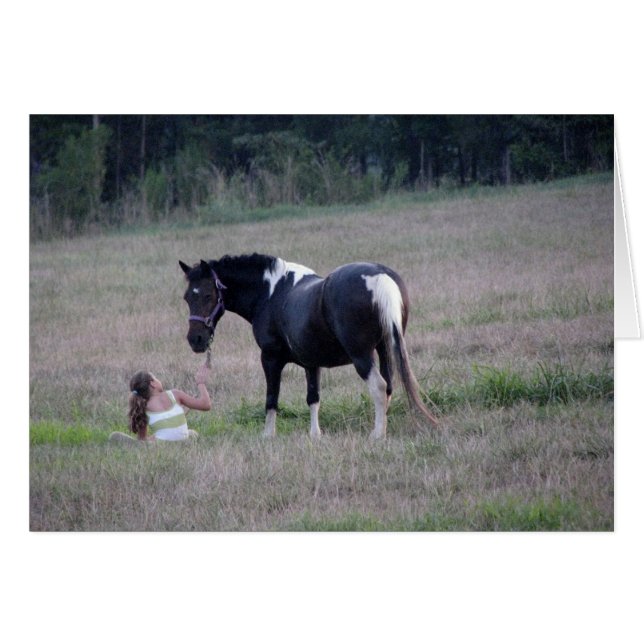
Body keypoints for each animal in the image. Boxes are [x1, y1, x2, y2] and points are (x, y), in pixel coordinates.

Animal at [179, 254, 438, 439]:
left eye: (207, 295)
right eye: (187, 297)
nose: (195, 340)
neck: (271, 293)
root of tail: (380, 277)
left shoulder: (270, 359)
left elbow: (271, 398)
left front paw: (268, 435)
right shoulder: (312, 363)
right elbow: (313, 398)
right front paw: (315, 435)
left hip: (362, 356)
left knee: (379, 386)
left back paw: (377, 435)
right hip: (385, 349)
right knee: (389, 386)